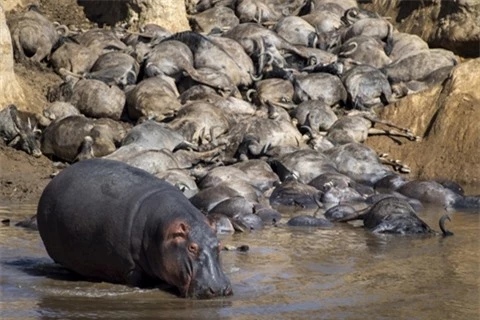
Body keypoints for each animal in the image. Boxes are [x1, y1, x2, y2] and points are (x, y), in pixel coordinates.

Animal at [36, 159, 232, 298]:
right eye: (192, 247)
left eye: (219, 245)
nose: (219, 289)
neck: (163, 233)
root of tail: (54, 180)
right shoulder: (130, 268)